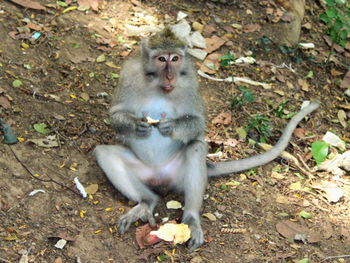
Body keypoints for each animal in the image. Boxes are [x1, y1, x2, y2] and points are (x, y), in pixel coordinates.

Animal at [94, 28, 322, 252]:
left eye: (175, 58)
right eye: (161, 59)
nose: (170, 76)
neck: (156, 85)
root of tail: (160, 178)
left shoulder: (189, 81)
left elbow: (198, 122)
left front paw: (171, 127)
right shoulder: (129, 73)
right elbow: (115, 114)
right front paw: (136, 126)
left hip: (177, 174)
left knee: (195, 147)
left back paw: (191, 218)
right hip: (145, 173)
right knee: (104, 153)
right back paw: (146, 202)